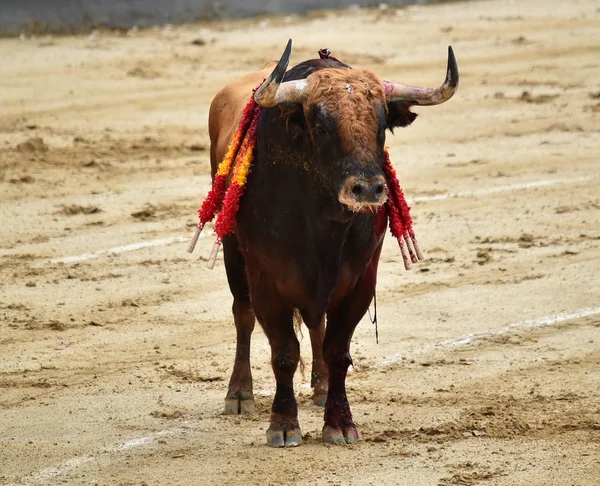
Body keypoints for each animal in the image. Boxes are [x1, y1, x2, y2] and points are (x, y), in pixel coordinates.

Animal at [206, 39, 460, 446]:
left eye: (382, 124)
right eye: (322, 126)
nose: (368, 189)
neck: (322, 222)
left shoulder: (360, 281)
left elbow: (337, 350)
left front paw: (339, 421)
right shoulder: (266, 281)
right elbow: (283, 352)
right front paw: (282, 425)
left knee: (317, 326)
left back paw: (322, 385)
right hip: (233, 254)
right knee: (242, 316)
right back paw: (240, 393)